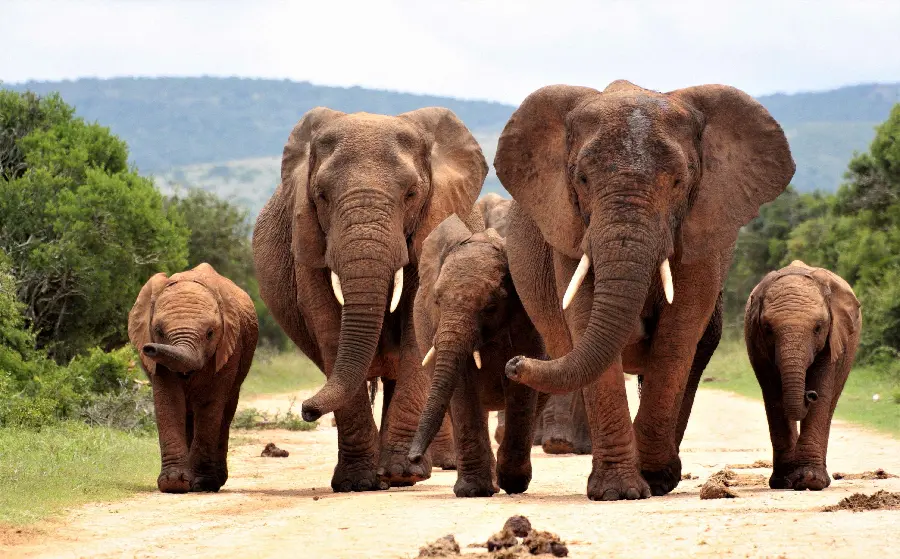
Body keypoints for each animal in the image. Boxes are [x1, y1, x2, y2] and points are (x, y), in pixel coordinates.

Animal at [125, 264, 256, 494]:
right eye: (158, 331)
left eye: (210, 333)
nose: (149, 348)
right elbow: (168, 399)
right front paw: (174, 483)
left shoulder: (229, 347)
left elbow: (210, 404)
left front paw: (202, 484)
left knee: (224, 413)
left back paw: (213, 481)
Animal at [250, 105, 488, 490]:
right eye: (321, 195)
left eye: (411, 194)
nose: (306, 410)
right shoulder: (307, 239)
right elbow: (328, 325)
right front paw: (357, 483)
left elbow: (414, 328)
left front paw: (401, 475)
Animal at [410, 201, 548, 498]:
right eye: (436, 301)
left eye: (491, 307)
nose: (413, 458)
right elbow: (462, 388)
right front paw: (473, 490)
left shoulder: (528, 321)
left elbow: (521, 388)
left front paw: (513, 483)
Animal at [496, 80, 800, 504]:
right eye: (582, 180)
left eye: (678, 182)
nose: (513, 363)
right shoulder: (569, 229)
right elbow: (585, 321)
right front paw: (618, 492)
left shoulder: (702, 228)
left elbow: (678, 334)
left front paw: (651, 480)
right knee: (561, 357)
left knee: (690, 358)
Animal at [740, 260, 860, 492]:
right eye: (767, 329)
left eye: (818, 328)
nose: (808, 394)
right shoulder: (756, 342)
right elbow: (773, 393)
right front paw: (785, 481)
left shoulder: (834, 336)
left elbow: (823, 388)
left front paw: (810, 481)